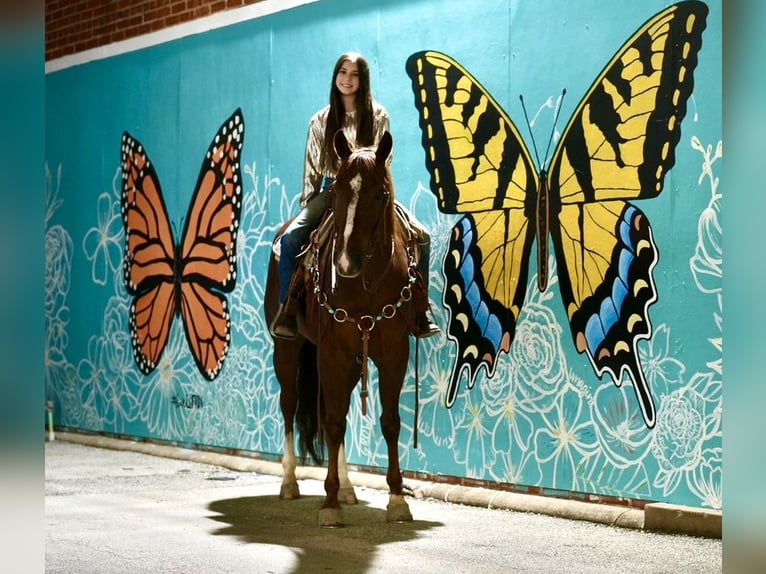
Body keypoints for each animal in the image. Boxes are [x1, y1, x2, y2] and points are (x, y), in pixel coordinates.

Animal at [264, 133, 420, 528]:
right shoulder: (332, 354)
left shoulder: (394, 352)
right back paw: (289, 482)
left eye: (380, 194)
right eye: (336, 193)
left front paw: (397, 500)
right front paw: (329, 504)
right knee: (290, 405)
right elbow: (332, 423)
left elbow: (390, 421)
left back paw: (349, 488)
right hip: (287, 349)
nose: (346, 263)